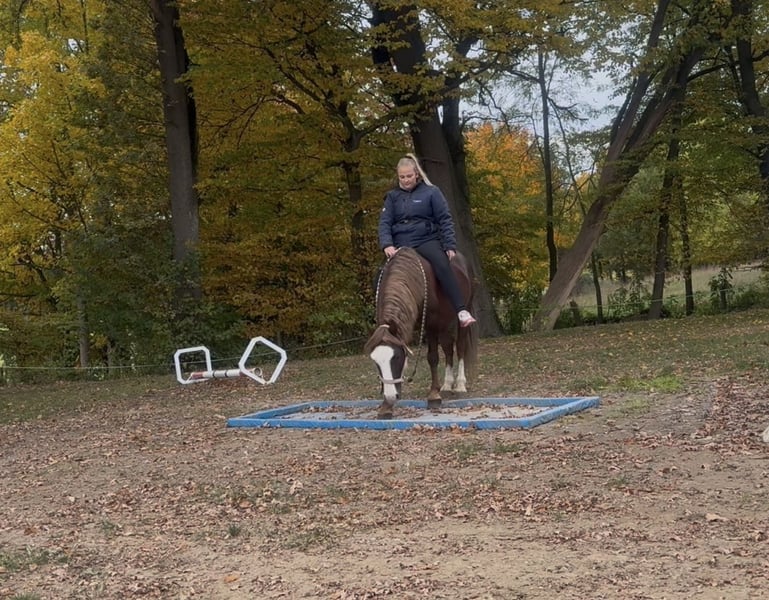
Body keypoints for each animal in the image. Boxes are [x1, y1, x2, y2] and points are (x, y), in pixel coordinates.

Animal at [364, 247, 478, 419]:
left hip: (463, 313)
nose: (390, 396)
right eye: (375, 361)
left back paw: (460, 385)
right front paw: (386, 407)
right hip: (445, 324)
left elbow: (432, 357)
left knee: (460, 347)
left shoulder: (431, 324)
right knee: (448, 349)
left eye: (397, 357)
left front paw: (434, 396)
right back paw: (447, 384)